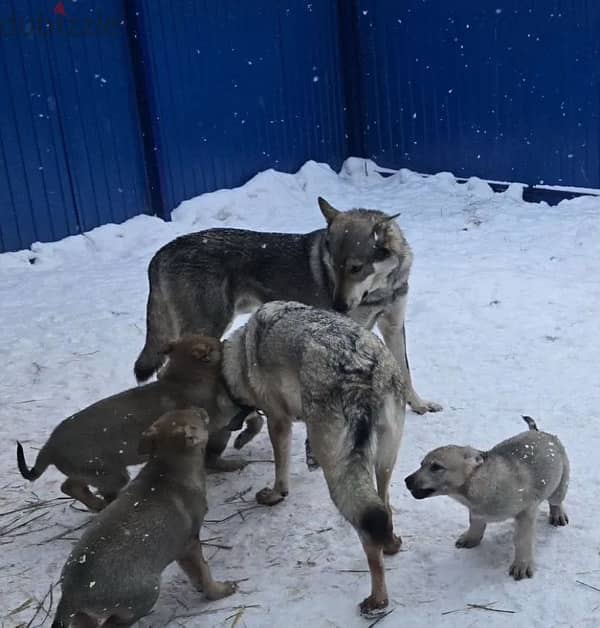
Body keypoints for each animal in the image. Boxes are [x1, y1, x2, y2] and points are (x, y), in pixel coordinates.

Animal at [51, 410, 237, 624]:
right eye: (196, 417)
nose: (202, 409)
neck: (167, 467)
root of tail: (70, 597)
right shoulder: (190, 544)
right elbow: (203, 571)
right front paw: (220, 591)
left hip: (84, 616)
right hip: (145, 596)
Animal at [132, 195, 440, 418]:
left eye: (355, 268)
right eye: (332, 266)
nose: (337, 305)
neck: (381, 290)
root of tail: (160, 253)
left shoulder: (393, 326)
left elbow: (405, 371)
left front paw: (419, 405)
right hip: (207, 328)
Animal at [223, 302, 406, 616]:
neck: (244, 351)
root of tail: (361, 368)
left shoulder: (278, 420)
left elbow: (280, 468)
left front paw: (275, 494)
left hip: (341, 476)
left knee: (369, 532)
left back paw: (378, 600)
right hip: (383, 462)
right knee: (384, 508)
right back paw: (392, 545)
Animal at [406, 418, 568, 580]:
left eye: (436, 467)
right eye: (421, 464)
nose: (406, 480)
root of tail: (540, 432)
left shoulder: (527, 511)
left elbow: (523, 540)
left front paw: (522, 565)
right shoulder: (476, 511)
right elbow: (475, 523)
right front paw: (470, 539)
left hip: (560, 482)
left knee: (556, 501)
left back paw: (558, 515)